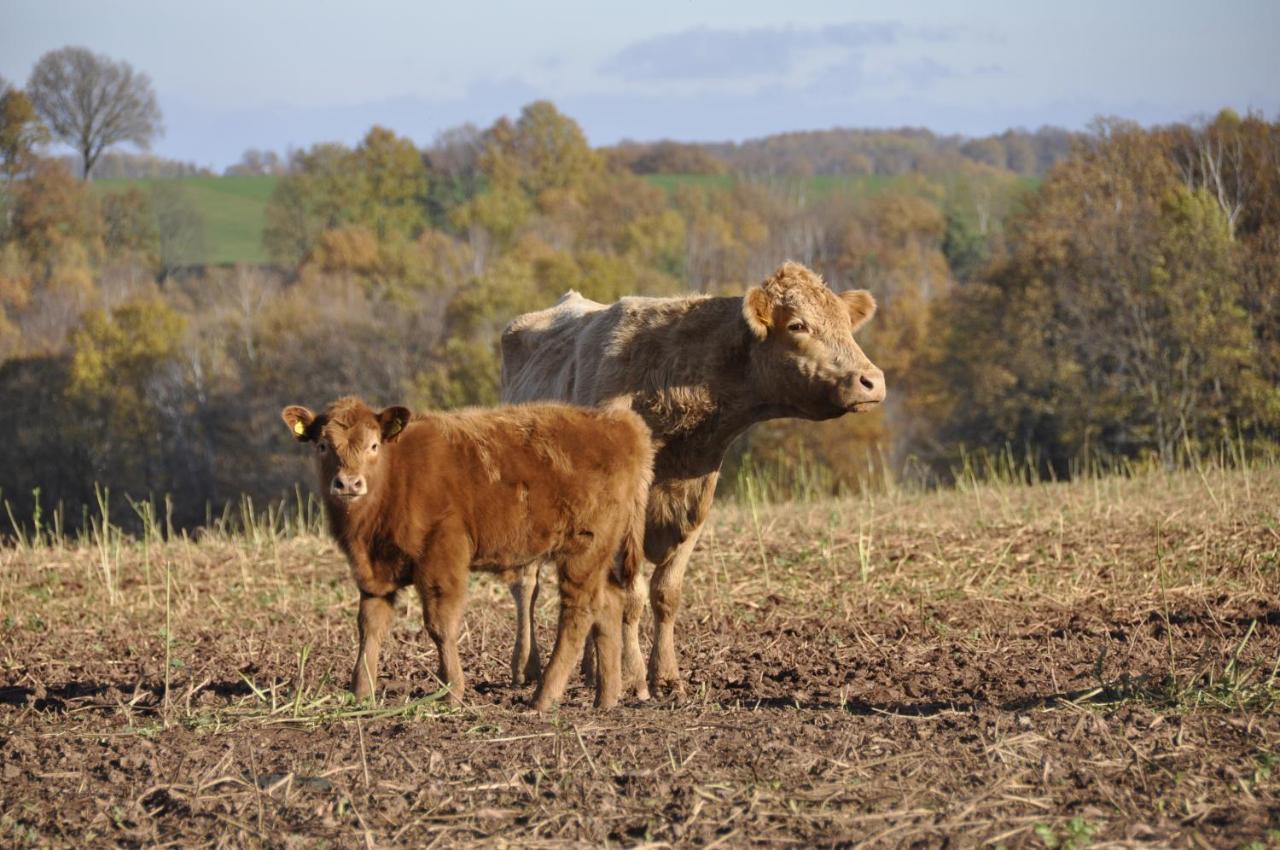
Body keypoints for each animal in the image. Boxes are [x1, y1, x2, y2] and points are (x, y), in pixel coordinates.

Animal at [284, 399, 655, 711]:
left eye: (373, 445)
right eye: (323, 446)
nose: (349, 483)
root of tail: (619, 423)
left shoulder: (441, 557)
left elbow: (440, 625)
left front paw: (453, 690)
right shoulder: (374, 573)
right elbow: (369, 626)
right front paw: (361, 692)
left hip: (583, 550)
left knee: (578, 613)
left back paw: (544, 696)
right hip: (601, 555)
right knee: (609, 603)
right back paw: (606, 698)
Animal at [504, 258, 885, 696]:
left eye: (845, 323)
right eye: (797, 325)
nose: (873, 381)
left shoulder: (695, 502)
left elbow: (666, 593)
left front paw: (665, 676)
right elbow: (631, 596)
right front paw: (634, 677)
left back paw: (590, 668)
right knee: (527, 585)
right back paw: (527, 667)